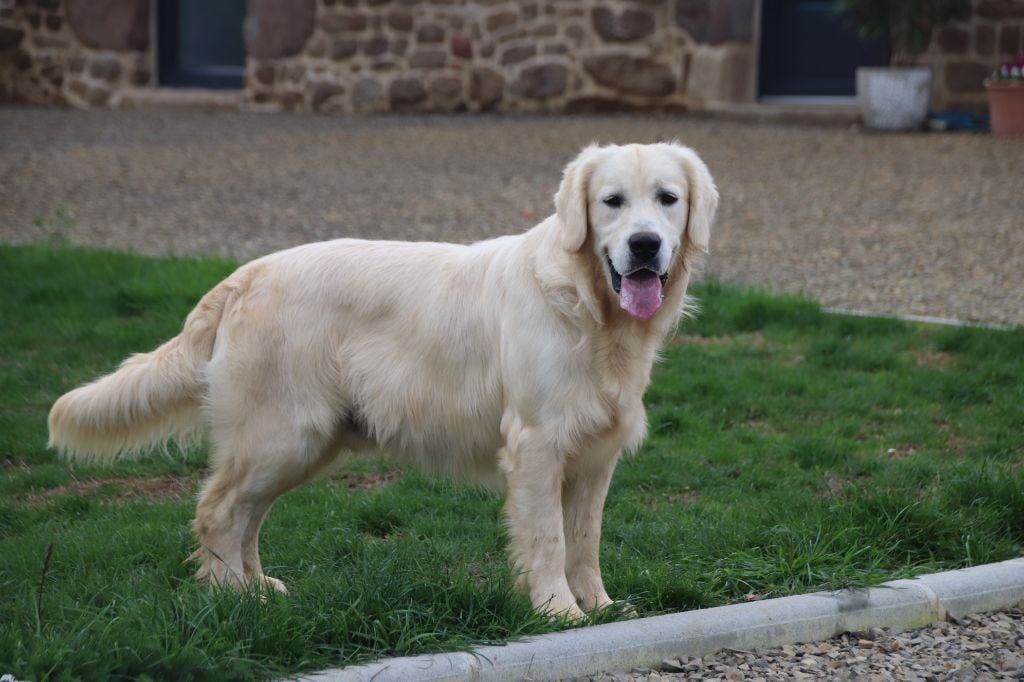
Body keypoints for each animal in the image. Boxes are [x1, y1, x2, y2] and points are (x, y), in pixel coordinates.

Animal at [49, 140, 720, 618]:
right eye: (611, 201)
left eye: (667, 198)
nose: (644, 245)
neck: (588, 307)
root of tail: (243, 275)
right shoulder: (537, 445)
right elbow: (549, 540)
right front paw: (559, 613)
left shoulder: (595, 455)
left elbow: (585, 540)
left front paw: (601, 607)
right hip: (282, 434)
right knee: (218, 509)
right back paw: (229, 600)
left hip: (301, 443)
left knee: (246, 517)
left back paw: (258, 590)